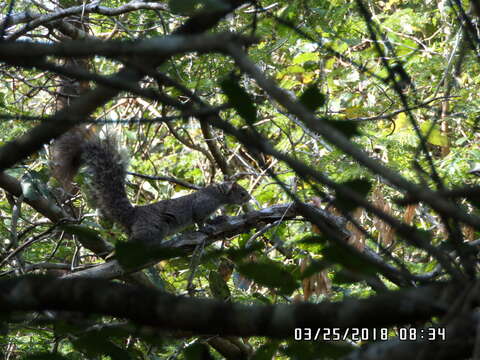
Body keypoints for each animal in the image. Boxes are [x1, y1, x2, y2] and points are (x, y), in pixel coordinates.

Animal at [51, 128, 253, 246]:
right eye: (242, 193)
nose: (250, 198)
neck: (218, 194)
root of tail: (132, 215)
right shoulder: (204, 202)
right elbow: (199, 218)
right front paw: (207, 227)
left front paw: (219, 219)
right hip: (150, 230)